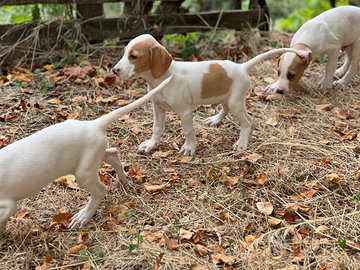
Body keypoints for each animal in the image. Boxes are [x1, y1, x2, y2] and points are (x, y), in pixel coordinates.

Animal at [0, 76, 172, 234]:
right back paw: (122, 179)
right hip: (91, 158)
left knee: (101, 190)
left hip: (84, 172)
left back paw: (83, 216)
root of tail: (93, 125)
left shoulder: (7, 205)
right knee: (112, 154)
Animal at [112, 34, 298, 156]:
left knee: (247, 121)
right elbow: (157, 129)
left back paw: (241, 143)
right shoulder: (157, 108)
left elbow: (188, 131)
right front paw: (151, 145)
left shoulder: (185, 112)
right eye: (124, 53)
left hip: (236, 103)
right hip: (226, 97)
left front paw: (189, 148)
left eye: (133, 56)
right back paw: (215, 120)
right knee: (225, 109)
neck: (162, 78)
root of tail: (242, 67)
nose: (114, 70)